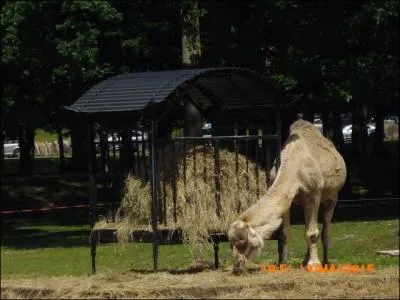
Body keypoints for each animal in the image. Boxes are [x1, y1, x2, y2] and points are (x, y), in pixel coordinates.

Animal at [228, 118, 346, 274]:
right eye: (231, 243)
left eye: (243, 243)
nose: (237, 265)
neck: (294, 167)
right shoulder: (288, 201)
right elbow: (284, 233)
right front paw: (283, 264)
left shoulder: (313, 195)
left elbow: (312, 233)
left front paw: (314, 264)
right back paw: (304, 261)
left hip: (332, 196)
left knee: (325, 229)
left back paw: (325, 262)